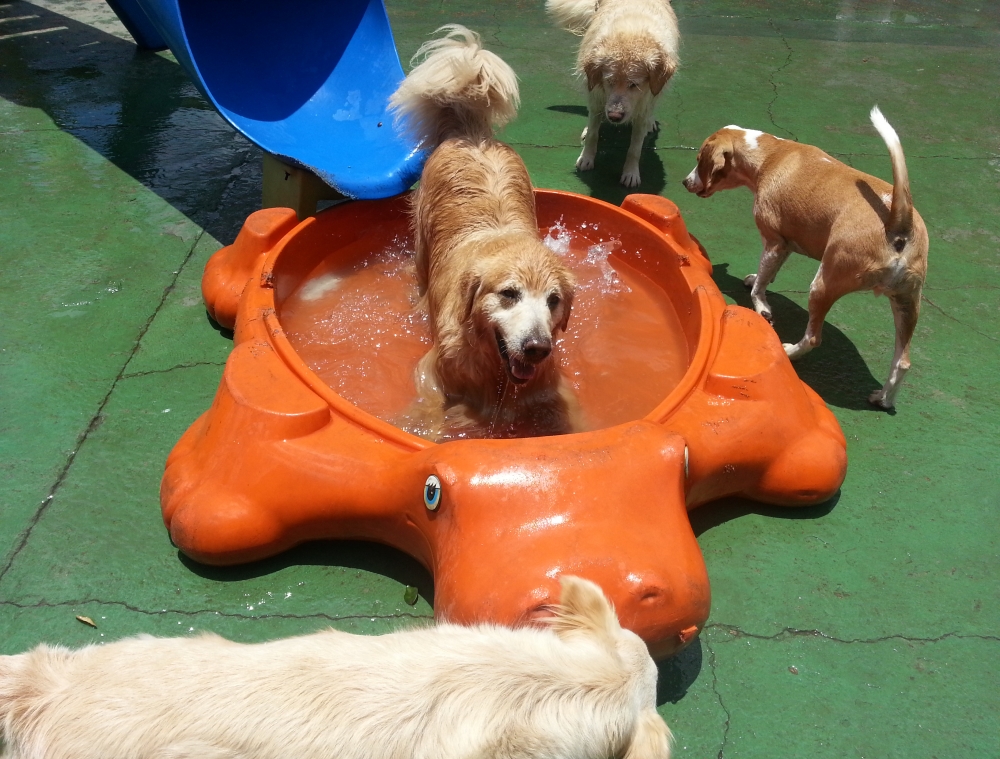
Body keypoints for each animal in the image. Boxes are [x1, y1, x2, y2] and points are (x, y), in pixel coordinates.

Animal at [388, 25, 580, 440]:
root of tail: (472, 134)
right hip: (421, 249)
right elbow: (431, 416)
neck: (496, 371)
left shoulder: (548, 387)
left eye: (554, 300)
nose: (538, 347)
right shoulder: (432, 374)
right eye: (509, 294)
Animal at [548, 0, 680, 189]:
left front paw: (631, 173)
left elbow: (635, 149)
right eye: (609, 81)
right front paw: (586, 158)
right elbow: (593, 133)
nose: (614, 116)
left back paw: (650, 123)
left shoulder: (643, 105)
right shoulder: (596, 96)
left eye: (634, 84)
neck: (631, 32)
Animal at [680, 107, 928, 410]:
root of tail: (898, 220)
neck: (771, 155)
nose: (685, 182)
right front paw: (755, 279)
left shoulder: (774, 241)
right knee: (902, 362)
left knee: (813, 337)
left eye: (698, 160)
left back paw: (789, 352)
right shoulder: (784, 245)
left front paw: (761, 306)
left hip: (823, 286)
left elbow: (761, 284)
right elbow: (766, 273)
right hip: (907, 304)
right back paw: (883, 398)